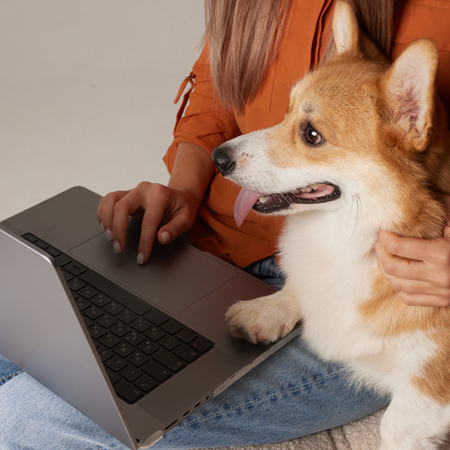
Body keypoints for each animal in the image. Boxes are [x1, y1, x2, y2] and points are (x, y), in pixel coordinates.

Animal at [211, 1, 450, 448]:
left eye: (312, 134)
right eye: (286, 111)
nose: (218, 159)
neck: (354, 240)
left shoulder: (429, 383)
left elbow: (394, 426)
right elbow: (298, 287)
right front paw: (266, 311)